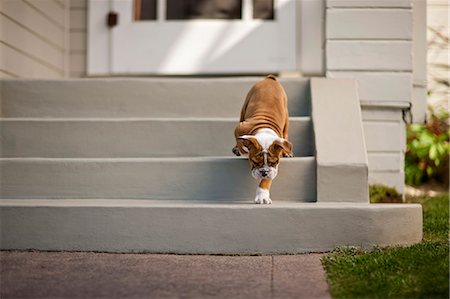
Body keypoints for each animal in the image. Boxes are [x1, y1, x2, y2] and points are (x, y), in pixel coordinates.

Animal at [234, 76, 294, 205]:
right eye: (255, 162)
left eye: (274, 162)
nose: (264, 172)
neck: (265, 130)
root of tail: (270, 78)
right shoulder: (240, 127)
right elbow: (241, 142)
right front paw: (243, 147)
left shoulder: (274, 167)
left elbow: (266, 180)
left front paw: (262, 196)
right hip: (245, 105)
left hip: (286, 115)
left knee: (286, 133)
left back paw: (287, 152)